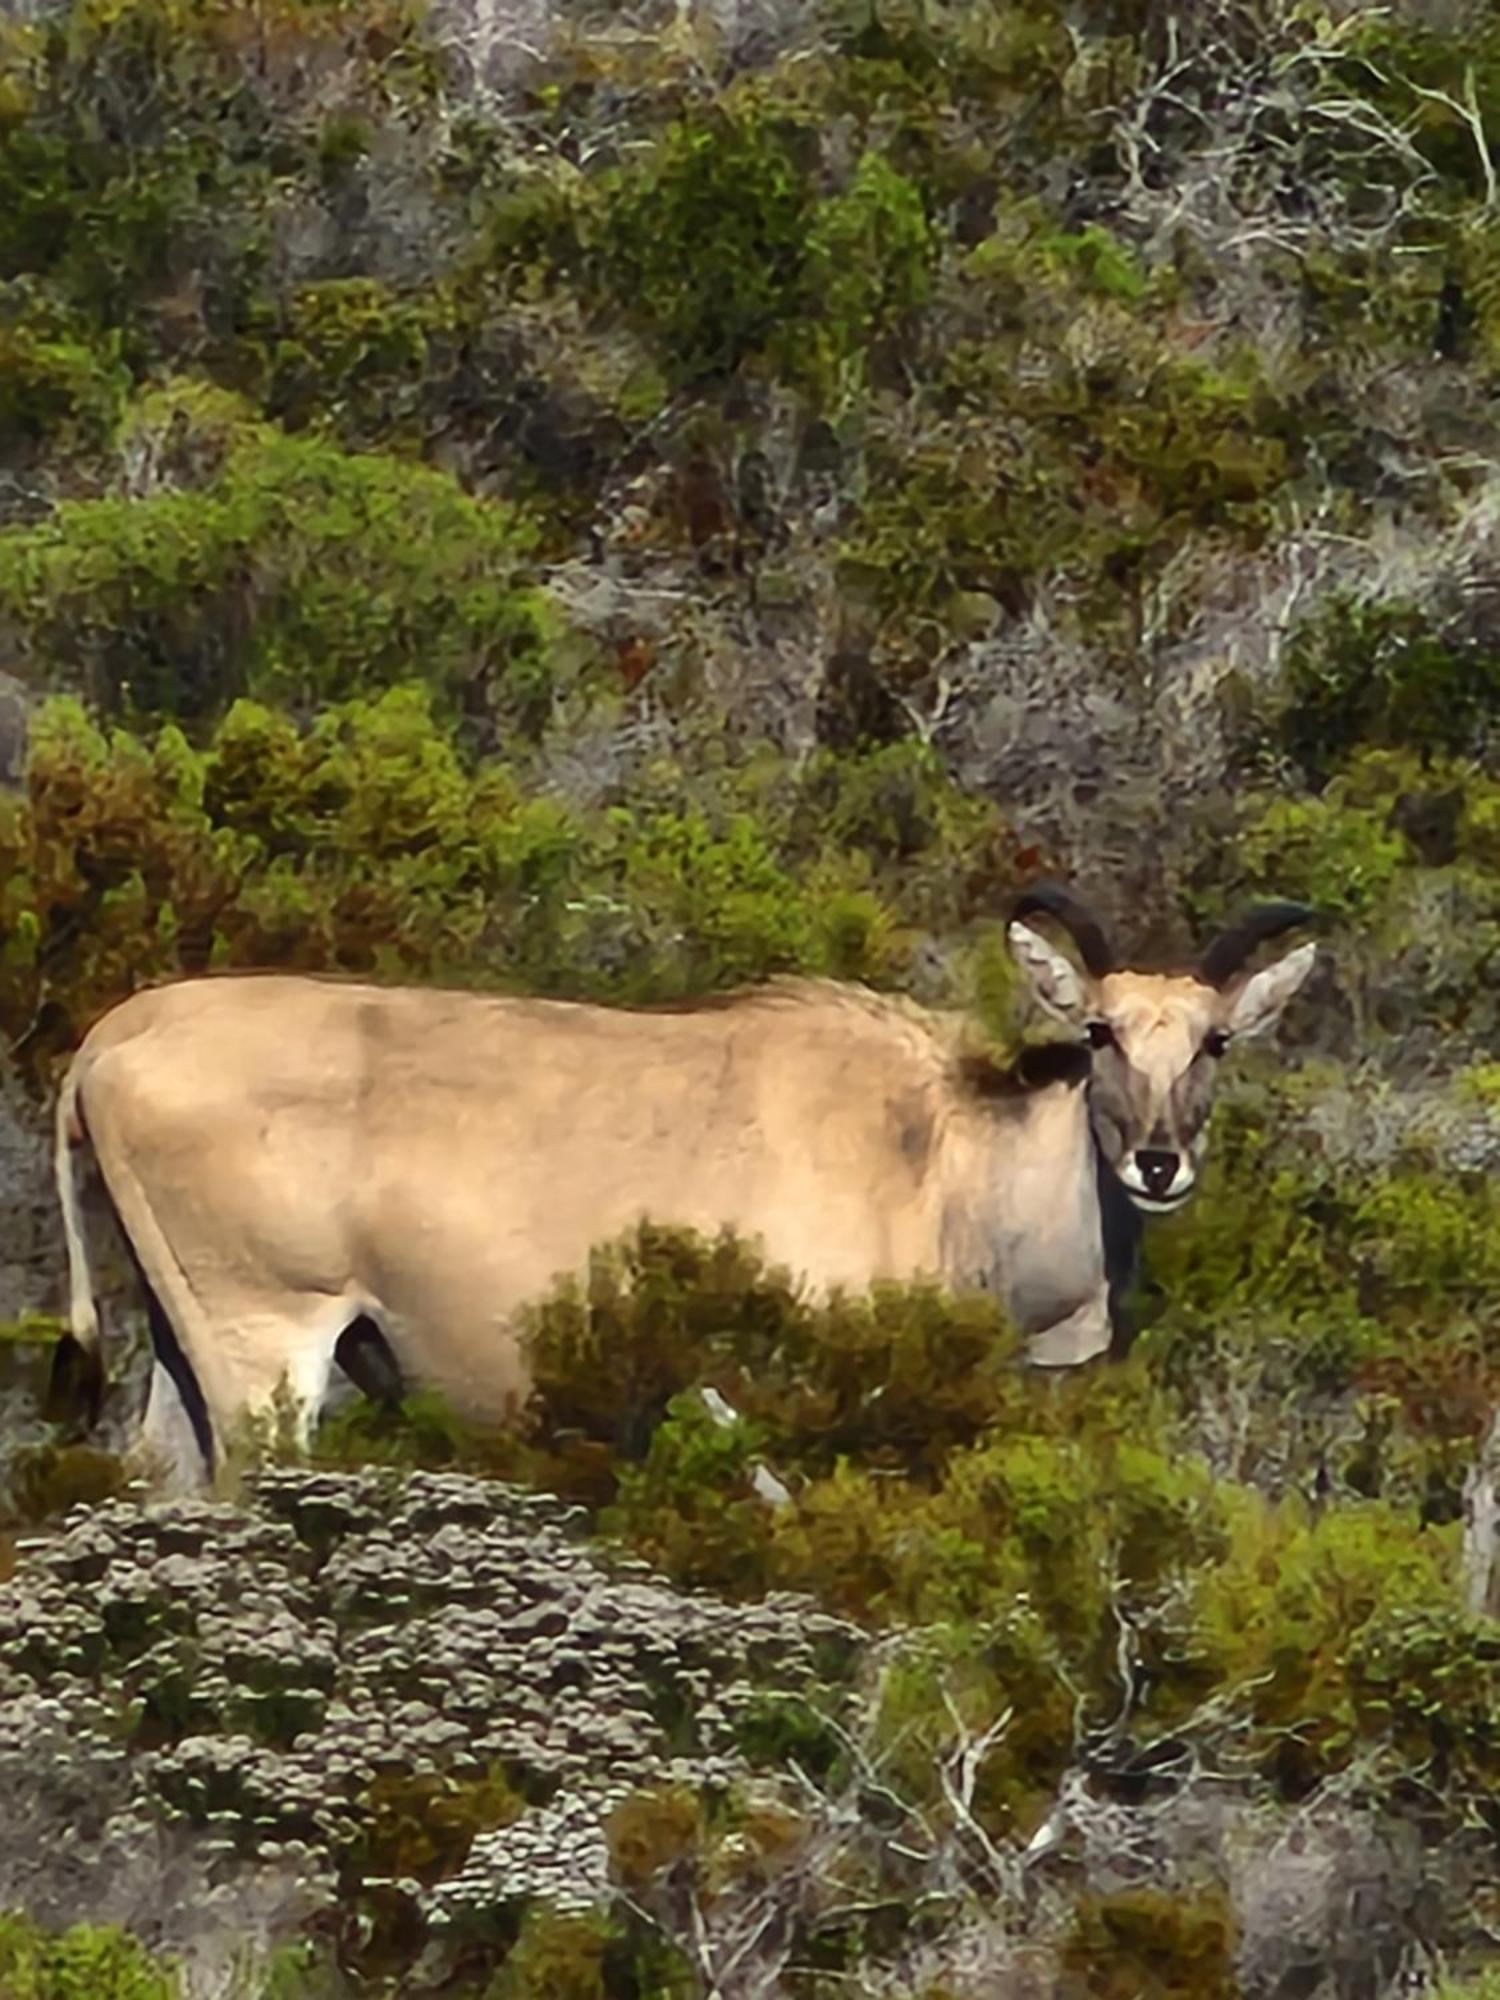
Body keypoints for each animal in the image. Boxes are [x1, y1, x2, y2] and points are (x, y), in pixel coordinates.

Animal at [47, 884, 1312, 1480]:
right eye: (1100, 1031)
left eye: (1214, 1041)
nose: (1158, 1161)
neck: (940, 1148)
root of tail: (112, 1036)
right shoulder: (761, 1403)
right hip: (267, 1349)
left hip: (186, 1352)